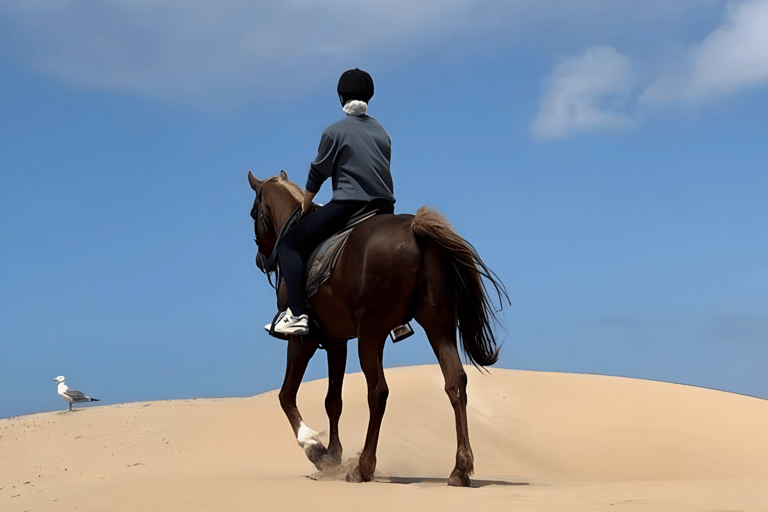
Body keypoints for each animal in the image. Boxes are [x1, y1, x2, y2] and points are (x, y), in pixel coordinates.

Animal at [248, 170, 508, 486]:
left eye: (254, 213)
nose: (261, 259)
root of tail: (415, 230)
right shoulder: (336, 342)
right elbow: (333, 400)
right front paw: (332, 456)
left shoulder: (303, 341)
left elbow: (286, 395)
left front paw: (314, 447)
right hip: (439, 326)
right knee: (455, 382)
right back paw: (460, 469)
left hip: (372, 334)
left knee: (378, 391)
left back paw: (363, 466)